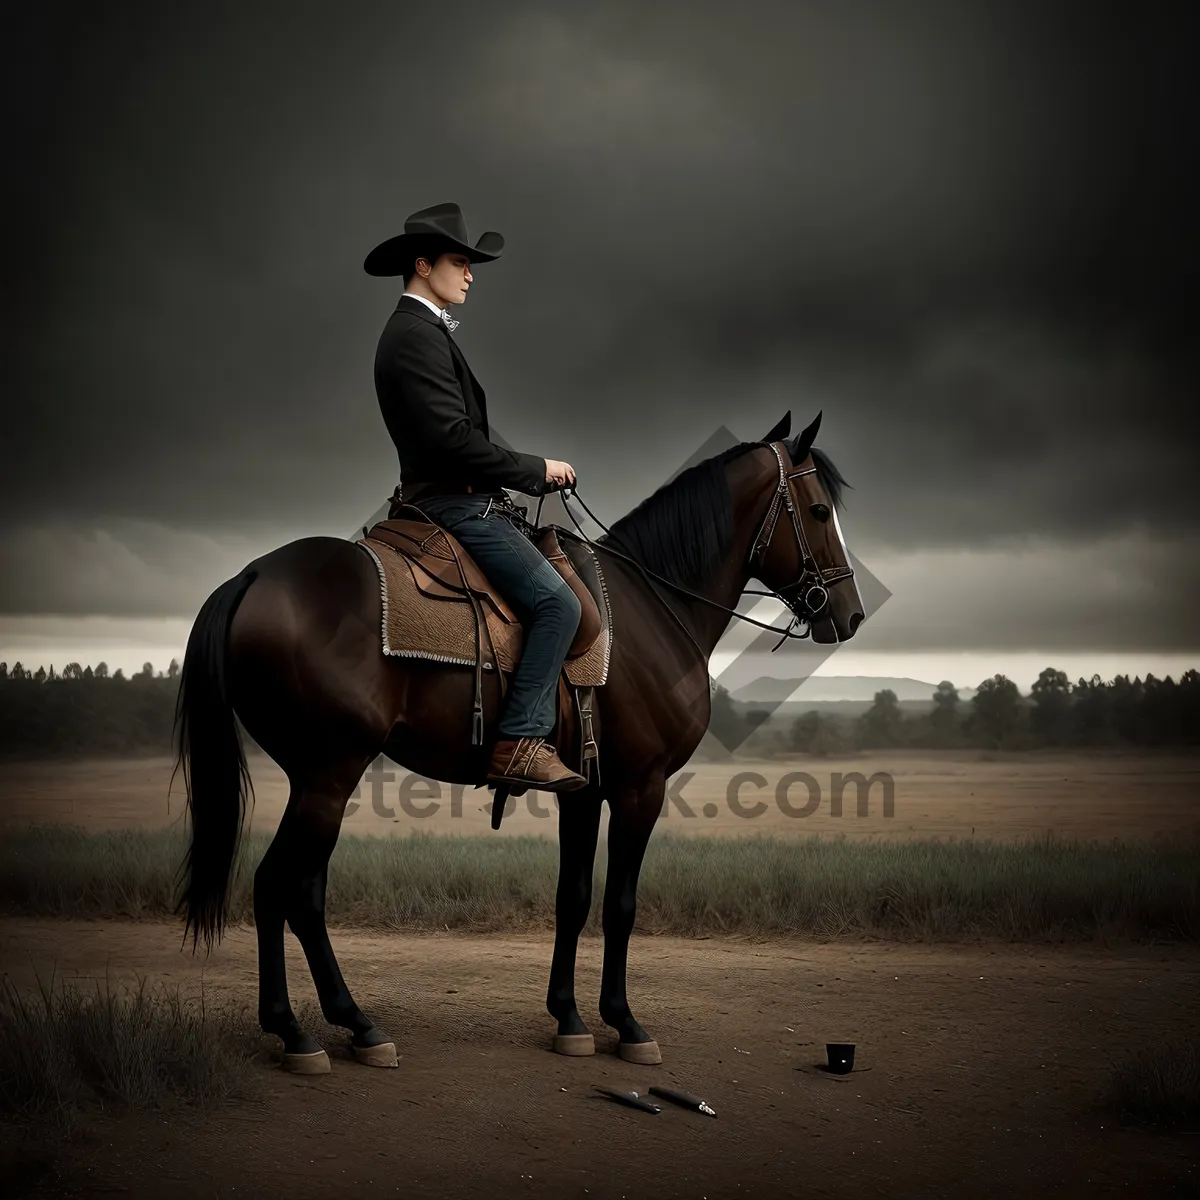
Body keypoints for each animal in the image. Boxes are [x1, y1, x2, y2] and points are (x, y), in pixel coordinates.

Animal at [174, 410, 864, 1070]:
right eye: (819, 511)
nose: (850, 614)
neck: (653, 607)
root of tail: (253, 574)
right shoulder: (640, 789)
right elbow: (620, 904)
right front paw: (625, 1023)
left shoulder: (586, 791)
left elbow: (574, 898)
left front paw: (570, 1018)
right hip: (327, 776)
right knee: (278, 887)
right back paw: (298, 1033)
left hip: (318, 781)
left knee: (303, 894)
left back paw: (353, 1026)